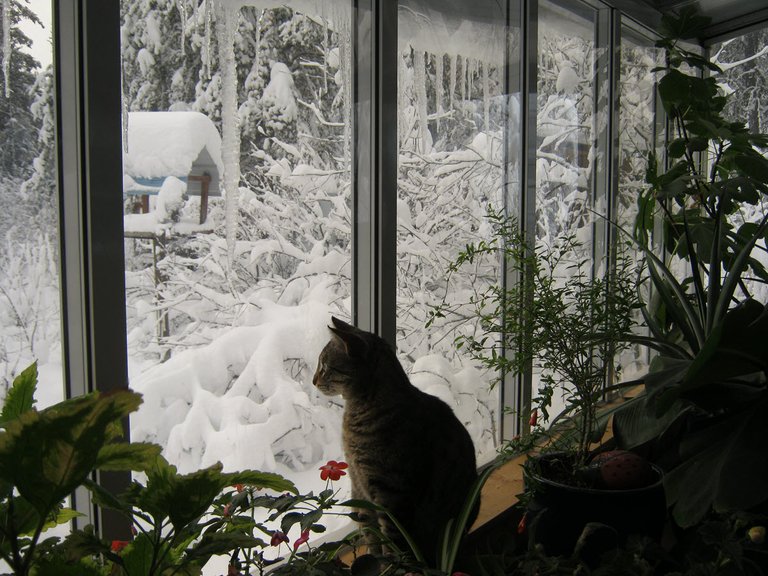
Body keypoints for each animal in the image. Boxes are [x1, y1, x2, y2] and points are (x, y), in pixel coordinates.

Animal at [310, 316, 476, 564]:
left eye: (325, 366)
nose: (313, 381)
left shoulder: (392, 493)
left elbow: (391, 540)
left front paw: (392, 565)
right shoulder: (359, 487)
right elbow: (371, 536)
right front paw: (374, 561)